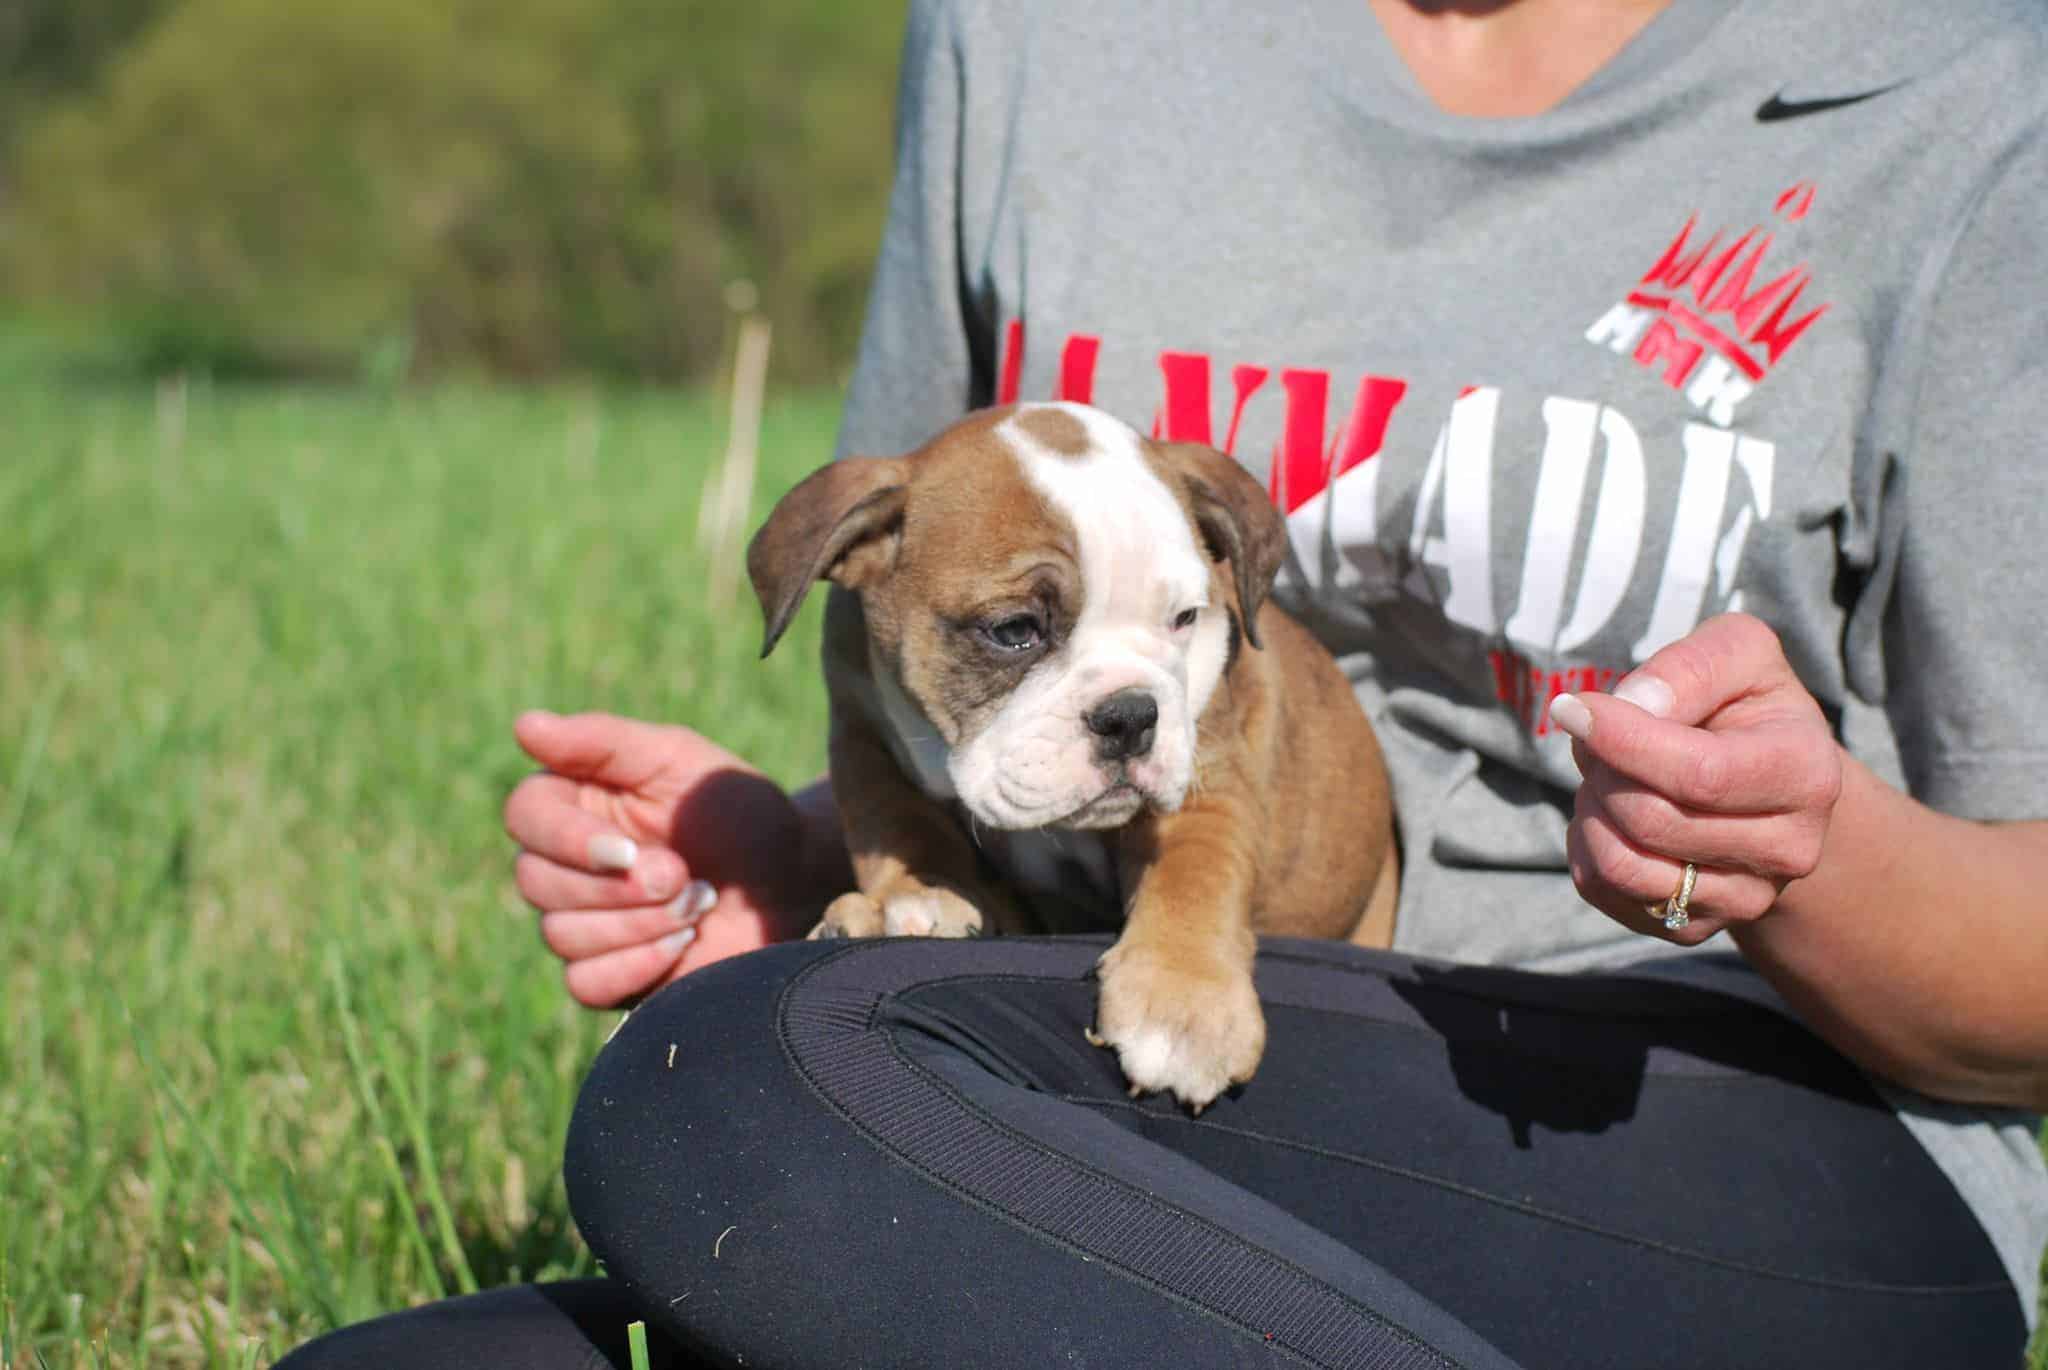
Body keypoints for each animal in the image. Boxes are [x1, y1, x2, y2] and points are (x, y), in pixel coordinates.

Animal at [753, 401, 1409, 1105]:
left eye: (1185, 618)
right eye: (1014, 630)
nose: (1131, 715)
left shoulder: (1209, 777)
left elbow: (1195, 875)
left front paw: (1182, 1002)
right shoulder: (862, 730)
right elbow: (897, 821)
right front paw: (916, 895)